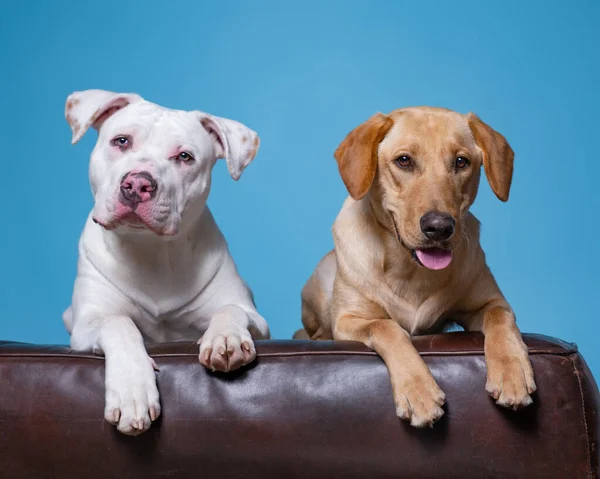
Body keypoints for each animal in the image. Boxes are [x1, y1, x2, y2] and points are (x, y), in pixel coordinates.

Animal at [62, 91, 270, 438]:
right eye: (121, 141)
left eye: (184, 157)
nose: (137, 184)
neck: (151, 250)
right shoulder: (87, 324)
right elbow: (118, 323)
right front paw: (132, 391)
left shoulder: (257, 319)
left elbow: (231, 309)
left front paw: (224, 338)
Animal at [298, 108, 536, 428]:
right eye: (404, 160)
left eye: (461, 162)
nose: (439, 227)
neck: (410, 269)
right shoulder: (349, 320)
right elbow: (387, 327)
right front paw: (418, 390)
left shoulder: (490, 302)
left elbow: (500, 319)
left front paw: (512, 372)